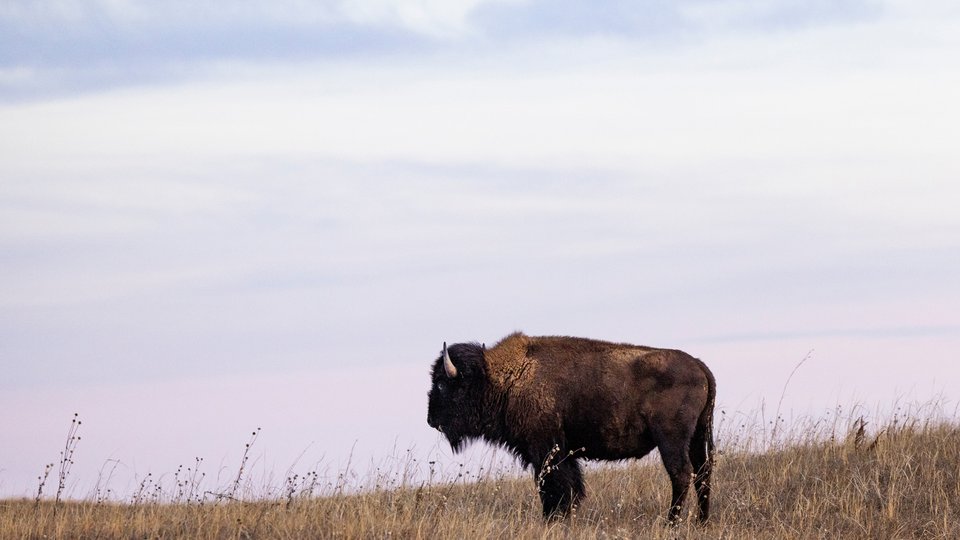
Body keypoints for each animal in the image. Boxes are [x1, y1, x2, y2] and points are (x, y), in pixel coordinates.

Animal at [426, 332, 716, 523]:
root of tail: (700, 365)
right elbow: (571, 486)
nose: (430, 420)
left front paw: (552, 519)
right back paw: (701, 522)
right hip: (698, 435)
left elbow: (554, 487)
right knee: (702, 472)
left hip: (671, 440)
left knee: (681, 474)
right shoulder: (563, 453)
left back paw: (671, 523)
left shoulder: (545, 451)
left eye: (441, 384)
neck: (505, 378)